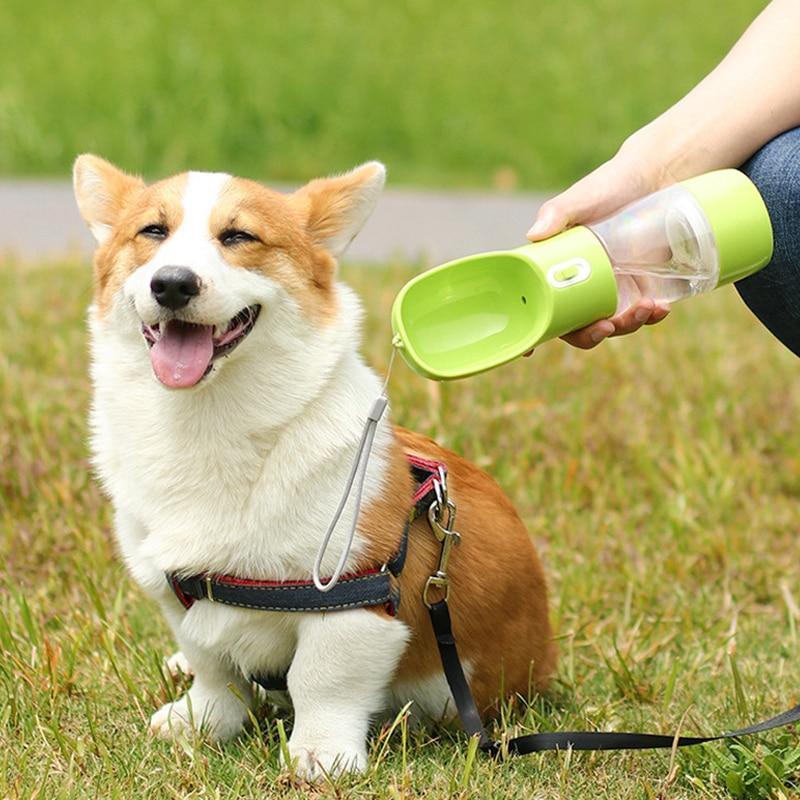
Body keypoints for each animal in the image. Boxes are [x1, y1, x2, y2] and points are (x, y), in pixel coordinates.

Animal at [73, 153, 556, 780]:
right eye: (152, 231)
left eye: (239, 236)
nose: (173, 283)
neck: (208, 423)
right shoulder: (176, 592)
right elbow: (214, 668)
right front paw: (201, 722)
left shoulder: (352, 600)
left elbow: (320, 680)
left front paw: (320, 756)